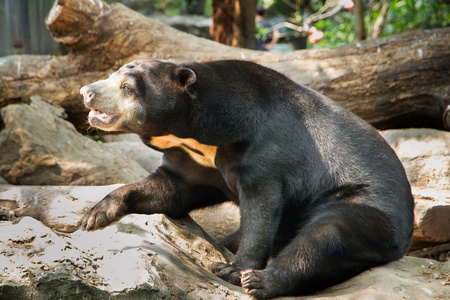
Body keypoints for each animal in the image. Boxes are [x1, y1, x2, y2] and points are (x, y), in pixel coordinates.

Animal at [79, 59, 414, 298]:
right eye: (111, 76)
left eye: (126, 87)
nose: (86, 91)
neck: (200, 135)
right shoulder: (193, 161)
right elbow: (169, 189)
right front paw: (95, 214)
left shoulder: (266, 151)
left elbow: (261, 208)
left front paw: (234, 269)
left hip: (367, 206)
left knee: (327, 235)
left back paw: (262, 281)